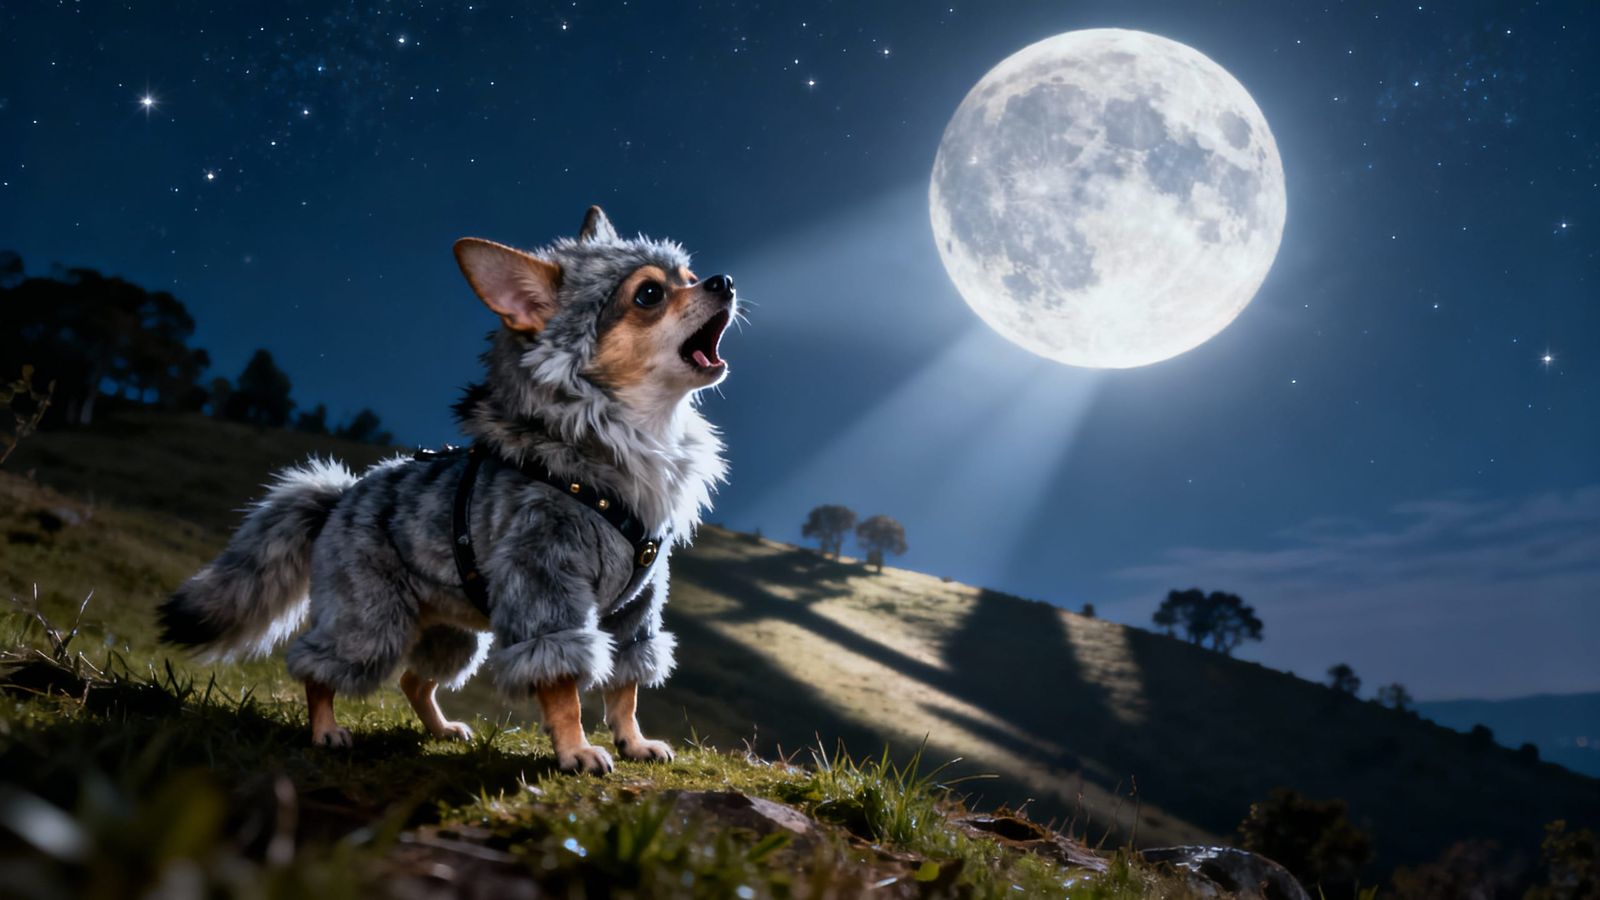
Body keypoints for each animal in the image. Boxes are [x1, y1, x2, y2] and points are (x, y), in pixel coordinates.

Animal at [158, 206, 735, 774]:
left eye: (688, 276)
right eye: (649, 294)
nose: (724, 281)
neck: (635, 436)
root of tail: (339, 497)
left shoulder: (634, 609)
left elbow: (626, 684)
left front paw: (633, 741)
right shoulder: (545, 586)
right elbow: (562, 683)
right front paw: (575, 750)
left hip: (451, 630)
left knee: (415, 679)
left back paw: (440, 730)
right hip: (368, 617)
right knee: (320, 666)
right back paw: (325, 730)